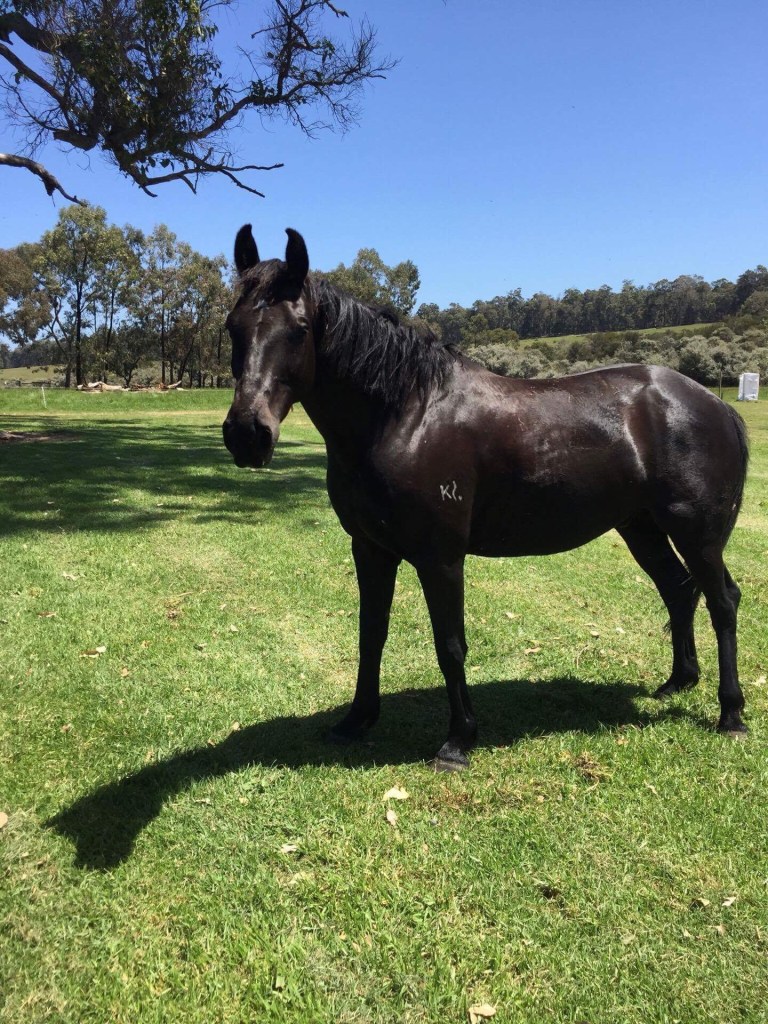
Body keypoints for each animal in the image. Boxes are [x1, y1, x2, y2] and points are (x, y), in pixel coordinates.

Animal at [222, 225, 749, 770]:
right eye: (232, 327)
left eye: (300, 329)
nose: (248, 434)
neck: (405, 415)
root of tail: (713, 404)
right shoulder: (371, 549)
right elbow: (371, 634)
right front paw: (356, 720)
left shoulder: (440, 557)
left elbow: (450, 644)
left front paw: (458, 740)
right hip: (641, 528)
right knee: (679, 590)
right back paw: (677, 683)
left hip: (698, 534)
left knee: (722, 600)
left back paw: (731, 714)